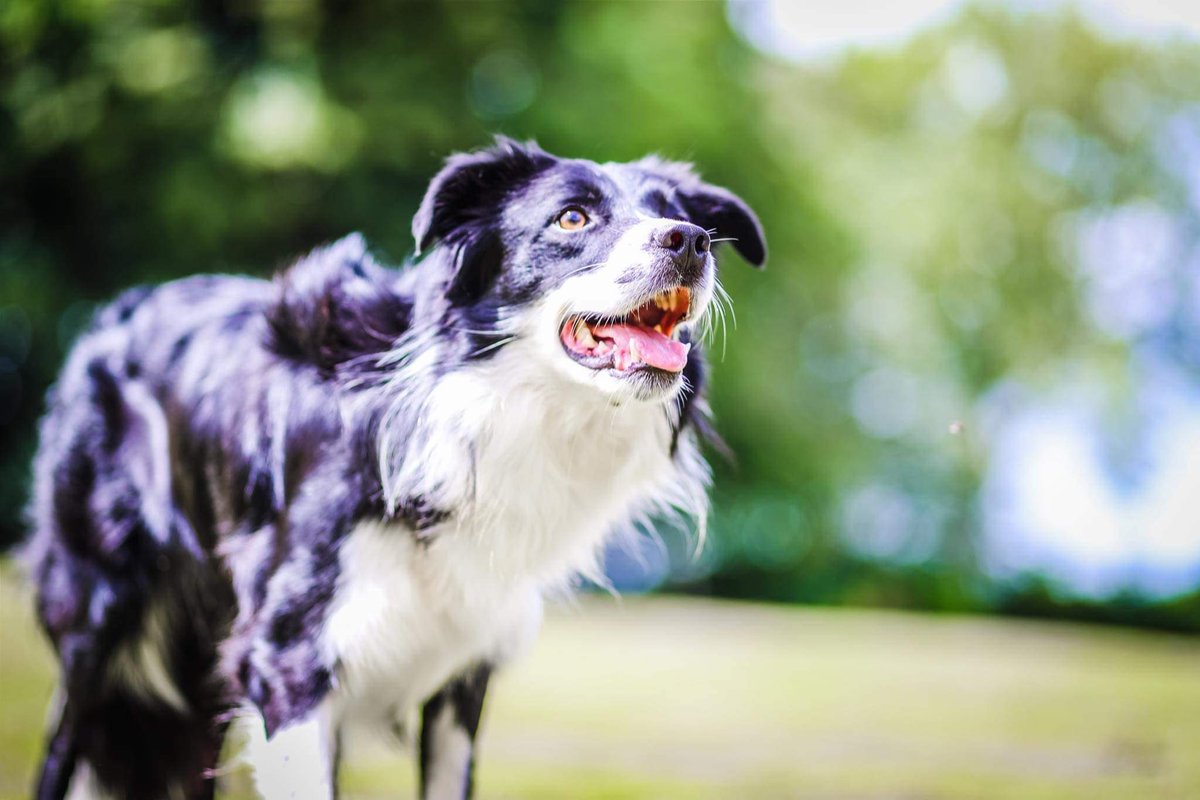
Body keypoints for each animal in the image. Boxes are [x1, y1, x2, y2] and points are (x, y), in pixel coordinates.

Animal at [28, 139, 768, 800]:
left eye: (677, 212)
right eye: (572, 219)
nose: (692, 241)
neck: (468, 406)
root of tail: (112, 316)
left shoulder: (464, 666)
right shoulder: (292, 661)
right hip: (98, 624)